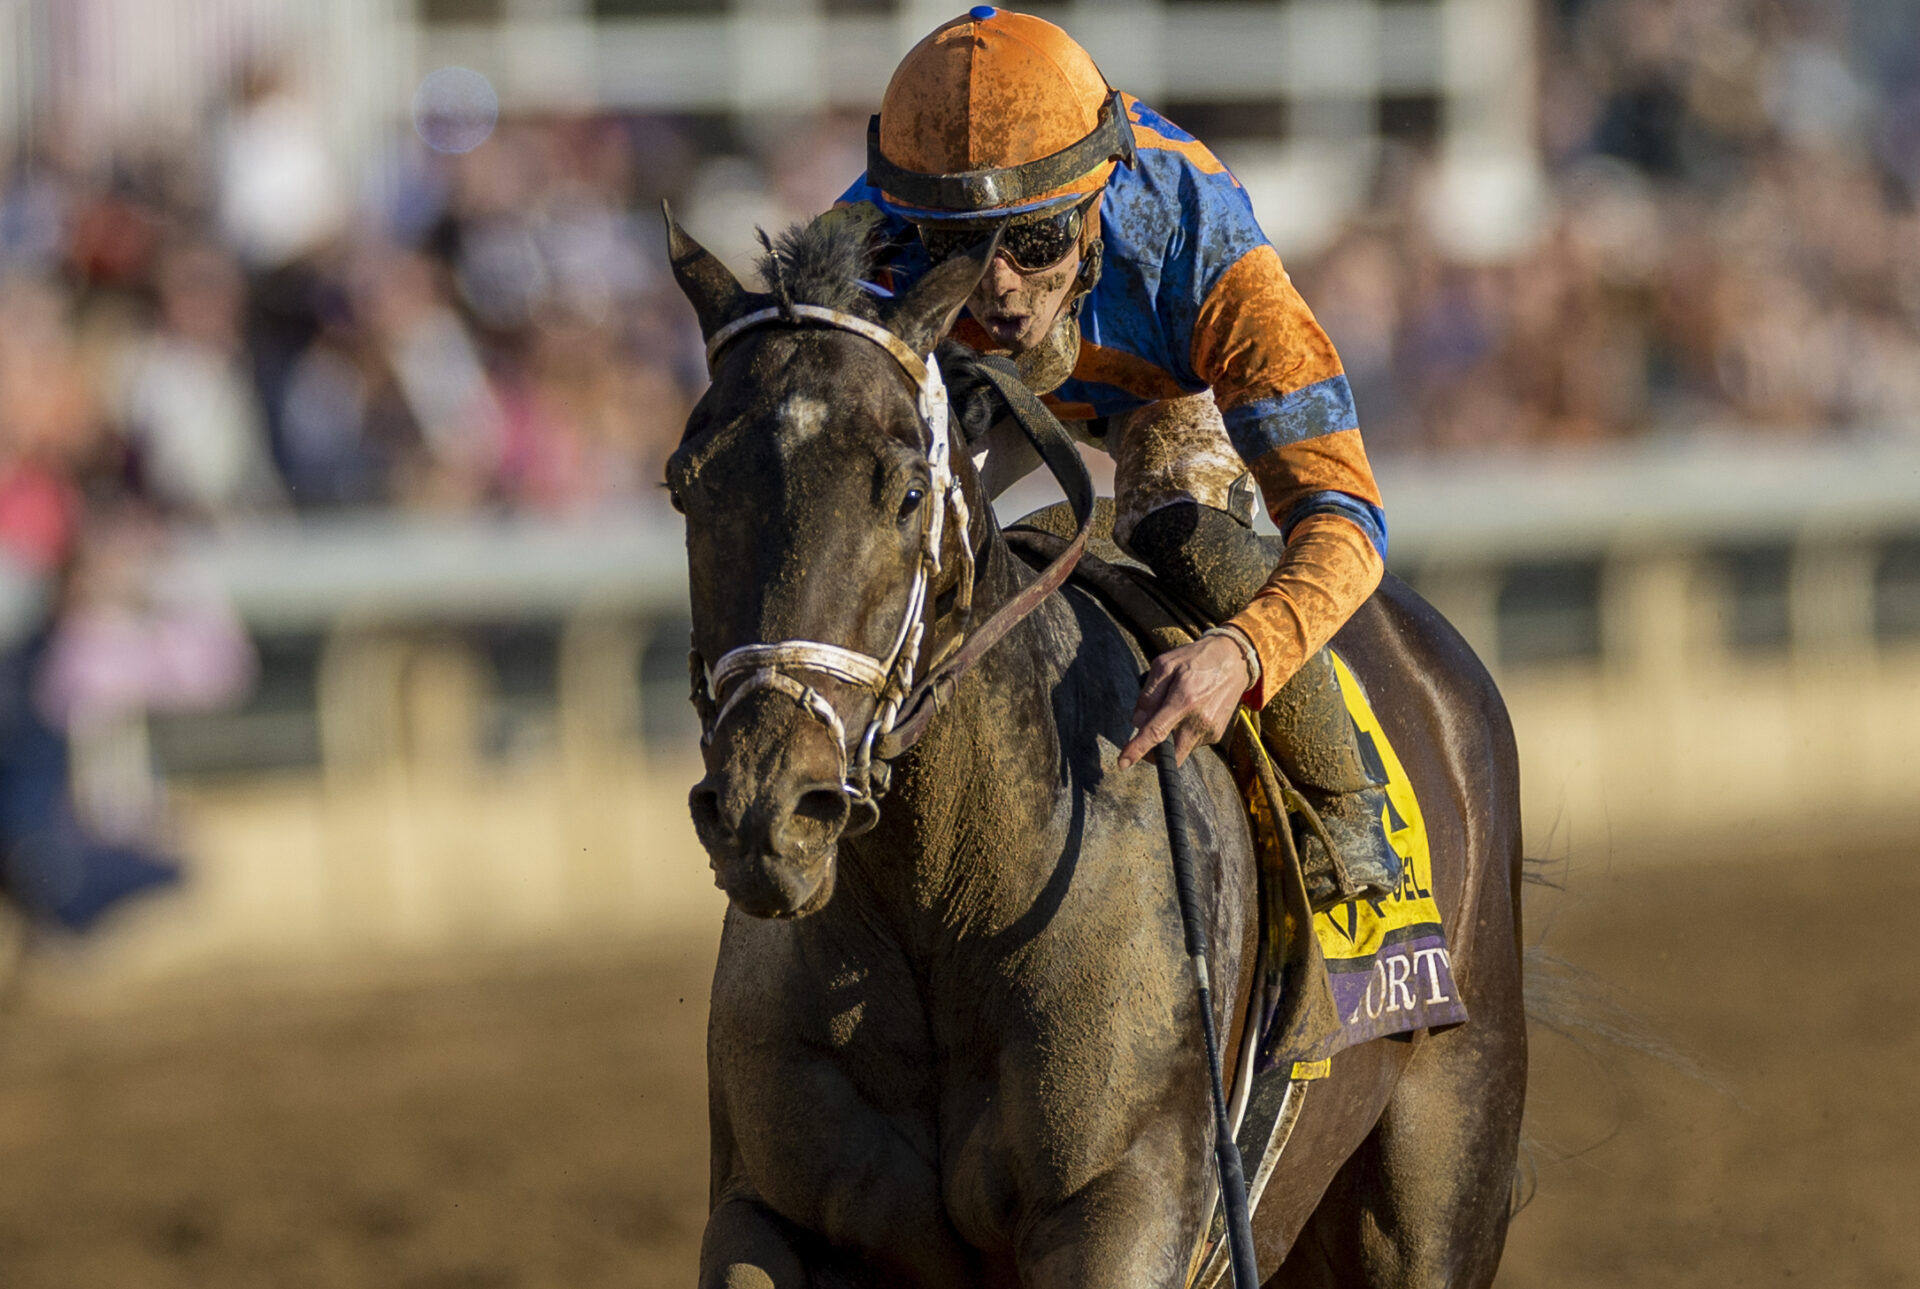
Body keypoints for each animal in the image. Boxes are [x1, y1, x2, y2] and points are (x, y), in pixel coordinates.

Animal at [663, 210, 1528, 1287]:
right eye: (686, 487)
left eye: (905, 491)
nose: (768, 810)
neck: (946, 903)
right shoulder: (765, 1204)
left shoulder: (1126, 1206)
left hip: (1441, 1170)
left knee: (1189, 521)